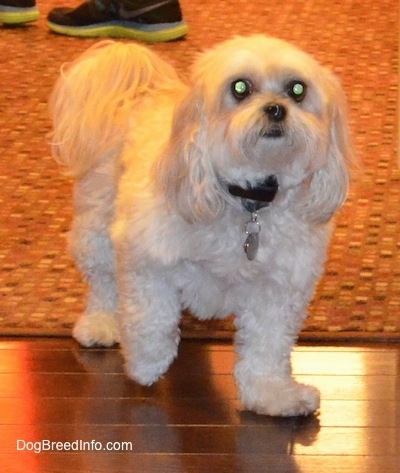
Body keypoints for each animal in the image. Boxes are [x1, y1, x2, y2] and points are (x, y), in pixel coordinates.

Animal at [49, 35, 350, 414]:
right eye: (240, 87)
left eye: (297, 89)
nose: (276, 109)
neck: (247, 201)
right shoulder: (145, 257)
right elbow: (151, 317)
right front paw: (147, 363)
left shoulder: (279, 288)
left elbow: (267, 347)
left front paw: (272, 394)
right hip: (97, 226)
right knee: (103, 282)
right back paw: (101, 323)